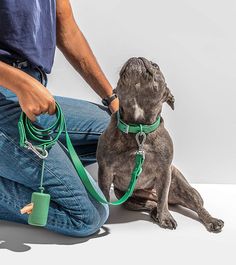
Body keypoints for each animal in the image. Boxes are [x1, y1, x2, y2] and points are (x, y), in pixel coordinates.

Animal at [96, 56, 225, 231]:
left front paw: (165, 217)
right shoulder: (105, 170)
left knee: (196, 206)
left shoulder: (164, 171)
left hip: (186, 188)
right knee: (151, 204)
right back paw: (154, 212)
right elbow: (103, 193)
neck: (139, 128)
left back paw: (211, 220)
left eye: (156, 65)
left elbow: (163, 198)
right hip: (126, 197)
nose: (137, 57)